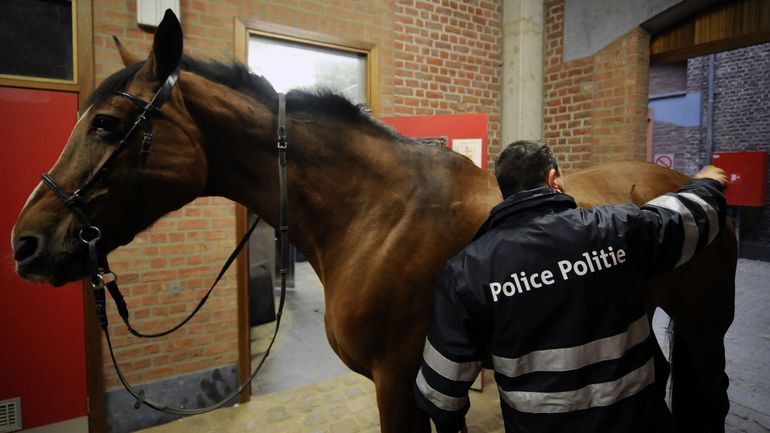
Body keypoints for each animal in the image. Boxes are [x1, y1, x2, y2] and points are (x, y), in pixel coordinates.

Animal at [13, 11, 732, 430]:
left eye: (108, 124)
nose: (26, 244)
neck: (376, 213)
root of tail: (684, 187)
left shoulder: (400, 383)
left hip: (702, 321)